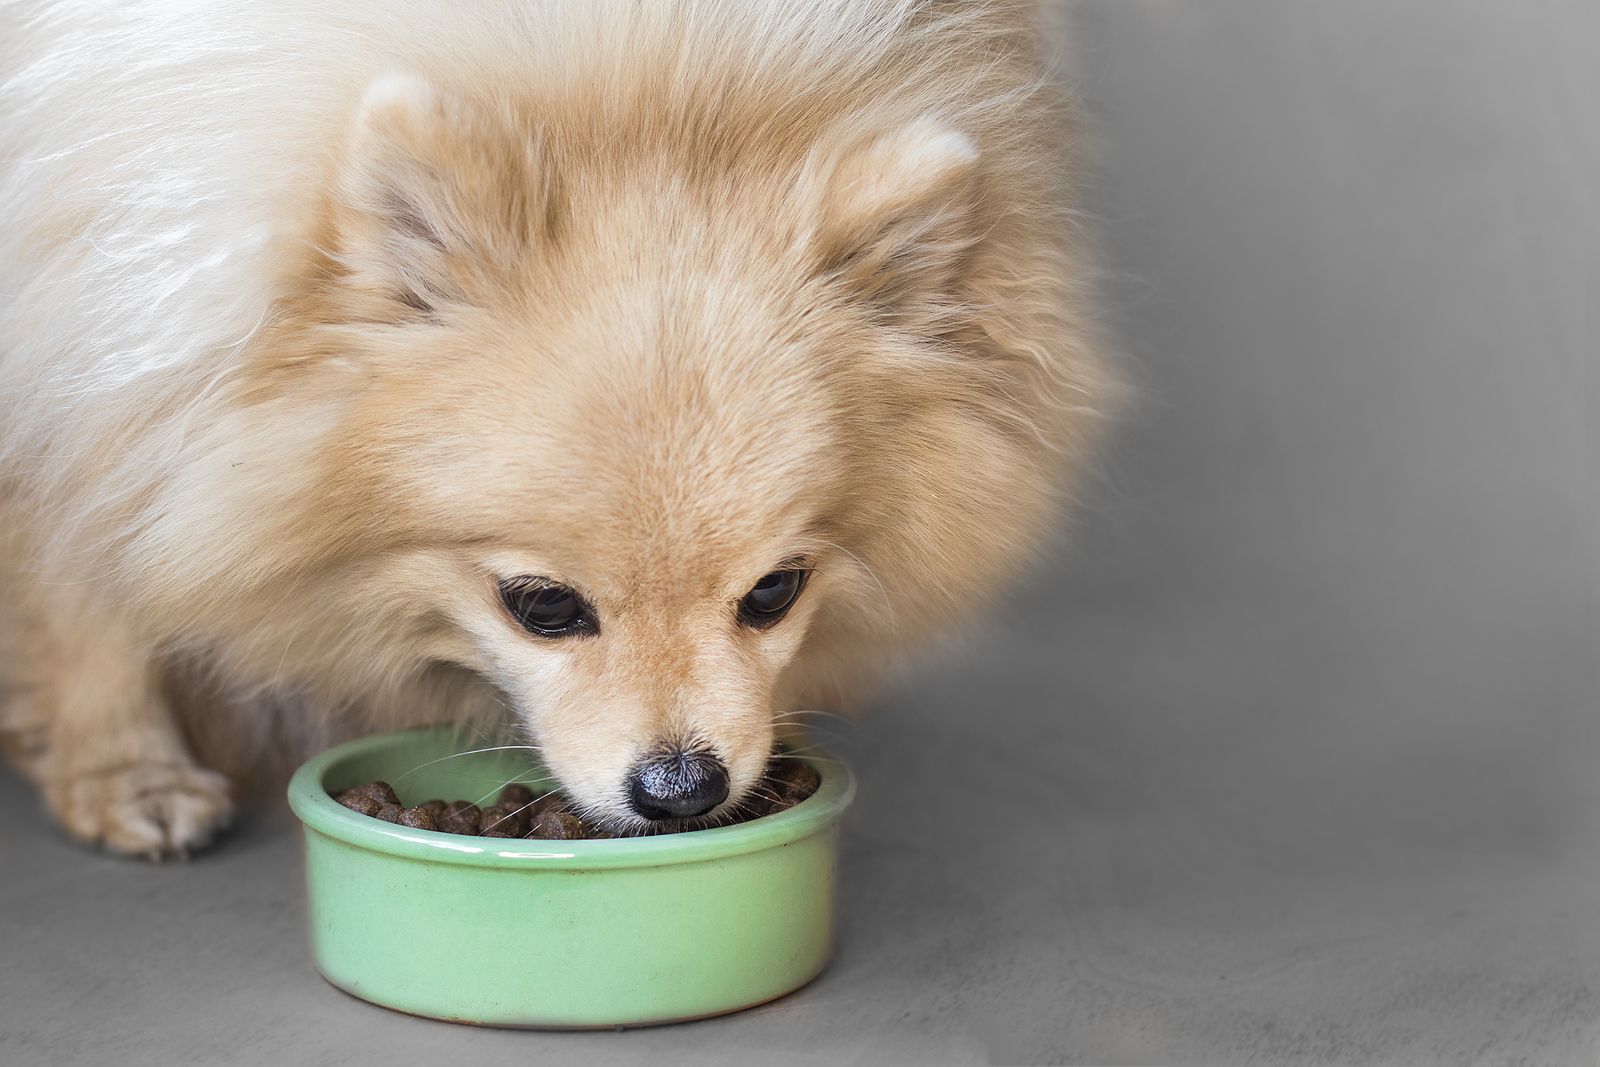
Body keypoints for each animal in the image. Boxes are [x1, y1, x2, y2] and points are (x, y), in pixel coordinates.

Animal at [0, 0, 1113, 857]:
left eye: (774, 593)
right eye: (542, 606)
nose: (681, 786)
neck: (650, 84)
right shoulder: (73, 318)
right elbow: (78, 575)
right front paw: (125, 768)